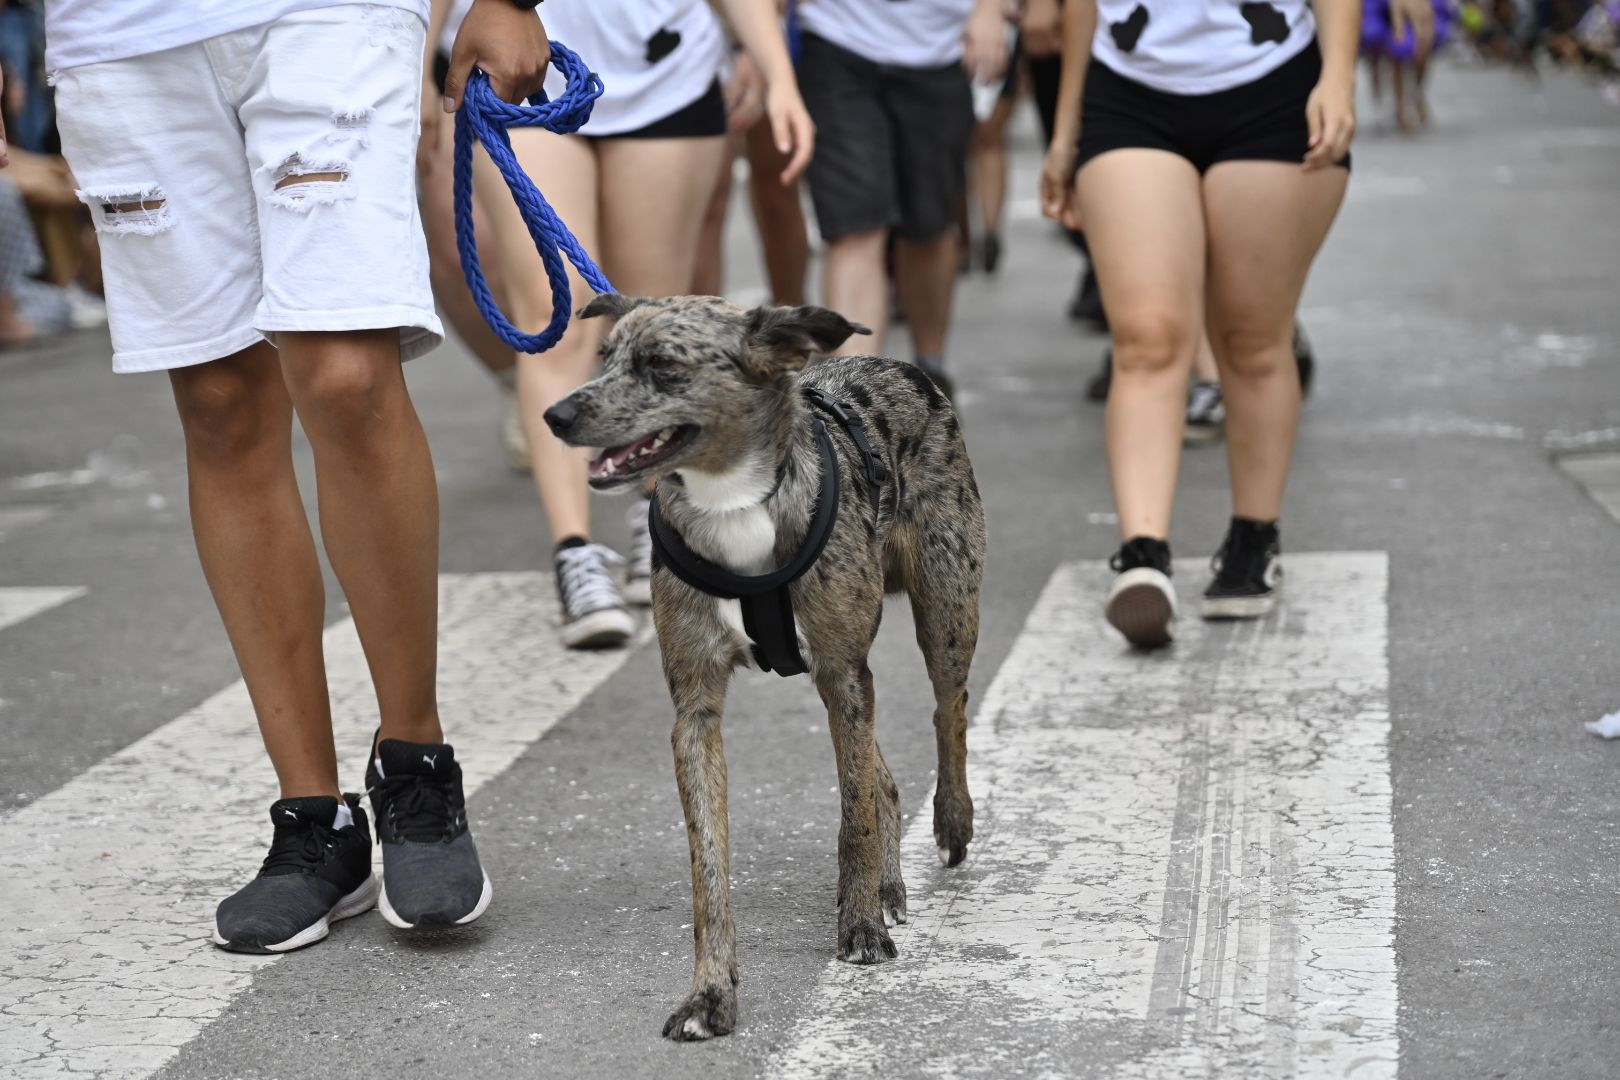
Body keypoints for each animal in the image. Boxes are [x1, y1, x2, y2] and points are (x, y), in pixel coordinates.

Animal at [541, 293, 984, 1036]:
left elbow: (853, 814)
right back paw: (891, 880)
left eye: (663, 364)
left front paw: (860, 927)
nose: (557, 415)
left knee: (947, 710)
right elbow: (709, 868)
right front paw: (710, 992)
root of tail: (897, 365)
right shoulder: (698, 713)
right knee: (885, 775)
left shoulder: (844, 672)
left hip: (946, 606)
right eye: (604, 358)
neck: (732, 499)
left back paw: (950, 822)